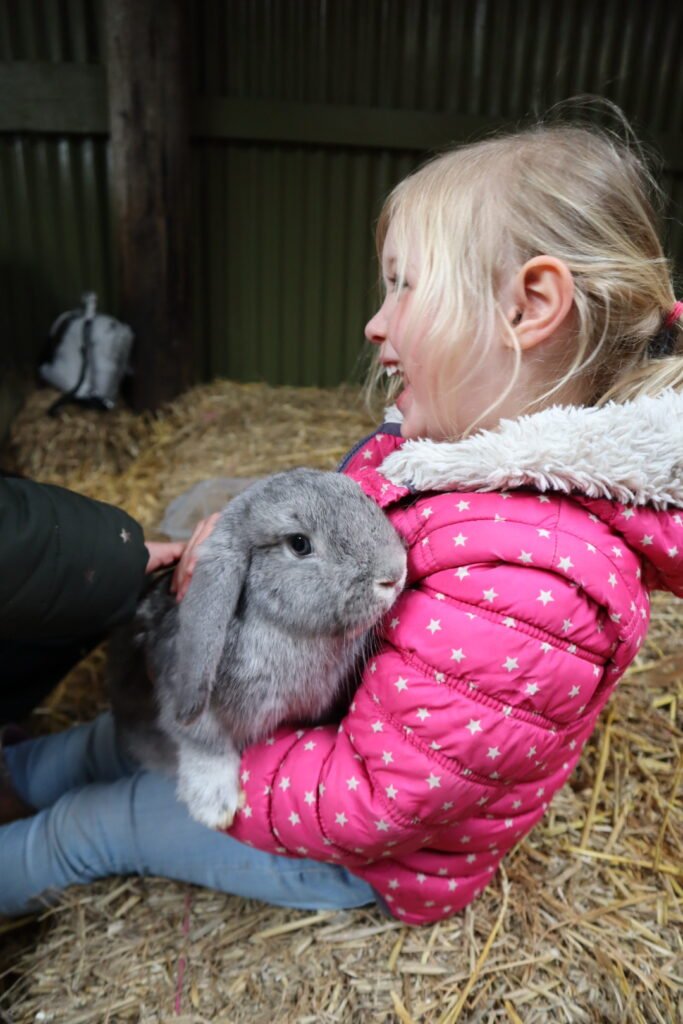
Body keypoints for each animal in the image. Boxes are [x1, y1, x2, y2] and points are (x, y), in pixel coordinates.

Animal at [107, 468, 405, 827]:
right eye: (299, 544)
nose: (395, 573)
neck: (288, 632)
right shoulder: (187, 706)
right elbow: (204, 745)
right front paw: (214, 806)